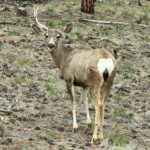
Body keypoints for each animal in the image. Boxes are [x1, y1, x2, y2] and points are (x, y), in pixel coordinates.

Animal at [33, 6, 117, 144]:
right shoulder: (85, 84)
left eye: (58, 36)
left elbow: (73, 102)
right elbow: (85, 101)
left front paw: (75, 126)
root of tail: (105, 59)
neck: (63, 60)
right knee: (103, 103)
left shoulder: (69, 79)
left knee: (98, 103)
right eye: (46, 35)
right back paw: (101, 135)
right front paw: (88, 122)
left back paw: (94, 137)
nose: (50, 44)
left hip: (96, 81)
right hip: (109, 81)